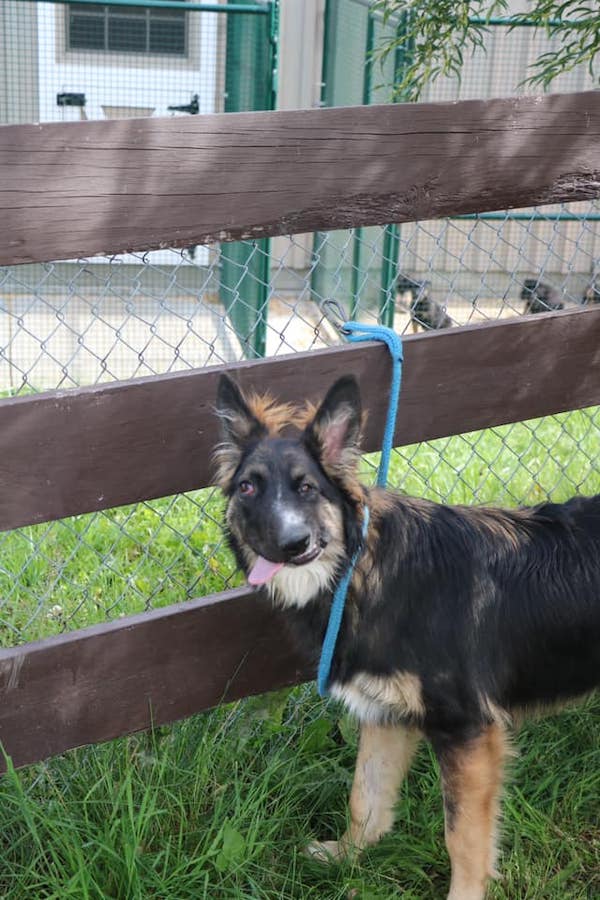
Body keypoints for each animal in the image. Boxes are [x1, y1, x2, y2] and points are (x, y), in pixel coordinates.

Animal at [214, 372, 600, 900]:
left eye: (307, 487)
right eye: (249, 487)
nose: (292, 544)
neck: (362, 572)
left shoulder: (467, 730)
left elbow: (462, 837)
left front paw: (464, 895)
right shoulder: (385, 714)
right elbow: (365, 796)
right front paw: (348, 856)